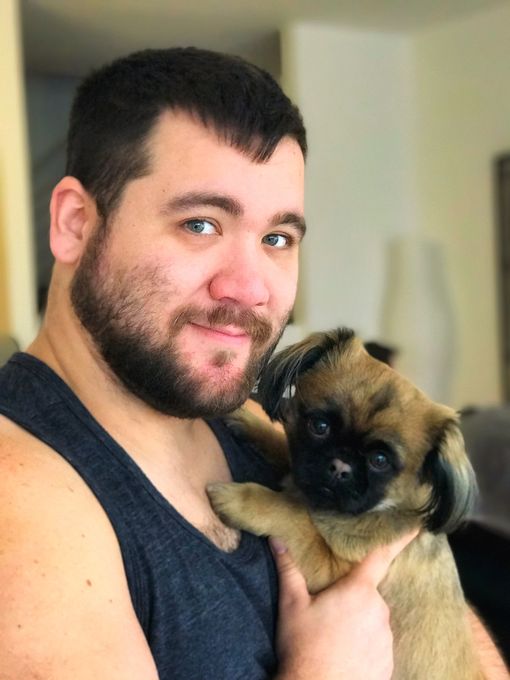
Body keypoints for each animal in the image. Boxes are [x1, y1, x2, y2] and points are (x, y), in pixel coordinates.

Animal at [208, 328, 486, 679]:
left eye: (380, 460)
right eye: (319, 426)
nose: (341, 467)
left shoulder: (333, 571)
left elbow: (292, 515)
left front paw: (241, 500)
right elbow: (281, 445)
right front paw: (245, 419)